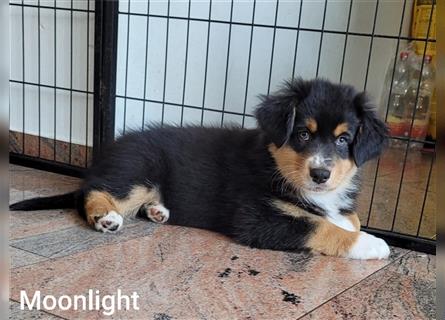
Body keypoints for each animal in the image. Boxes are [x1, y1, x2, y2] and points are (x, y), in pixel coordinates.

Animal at [9, 78, 388, 260]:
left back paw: (158, 211)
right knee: (91, 191)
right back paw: (106, 217)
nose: (320, 175)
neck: (275, 164)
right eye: (302, 134)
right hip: (138, 169)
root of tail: (113, 149)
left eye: (344, 140)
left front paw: (349, 222)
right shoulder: (257, 218)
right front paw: (371, 244)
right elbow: (320, 227)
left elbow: (346, 218)